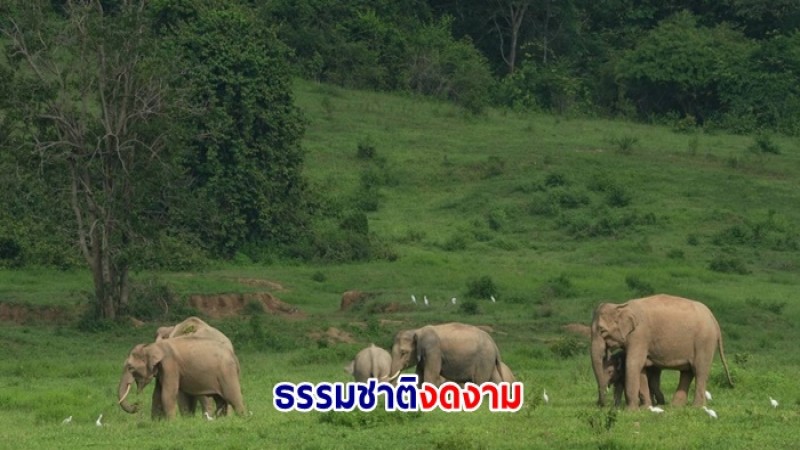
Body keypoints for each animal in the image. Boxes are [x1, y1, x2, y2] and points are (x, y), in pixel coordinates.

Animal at [592, 294, 736, 410]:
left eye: (602, 330)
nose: (601, 405)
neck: (621, 306)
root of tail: (714, 319)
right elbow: (642, 368)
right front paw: (645, 408)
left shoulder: (639, 335)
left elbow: (633, 364)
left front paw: (631, 411)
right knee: (688, 371)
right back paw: (676, 406)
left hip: (704, 342)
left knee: (699, 370)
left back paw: (697, 407)